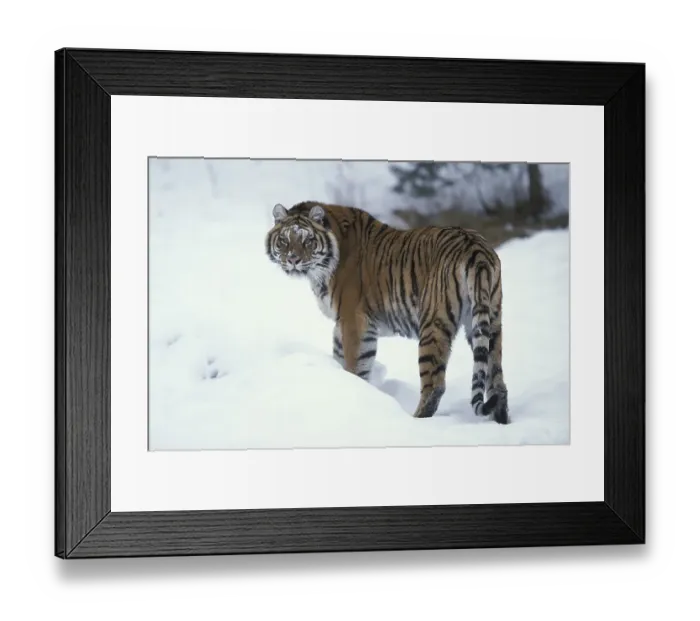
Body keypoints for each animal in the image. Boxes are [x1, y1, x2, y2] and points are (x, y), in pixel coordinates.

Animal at [265, 200, 510, 424]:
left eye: (307, 240)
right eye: (284, 240)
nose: (292, 260)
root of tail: (475, 247)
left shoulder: (353, 321)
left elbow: (354, 365)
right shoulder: (349, 325)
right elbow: (350, 361)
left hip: (433, 325)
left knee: (435, 386)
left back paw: (416, 421)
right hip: (489, 321)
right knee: (497, 381)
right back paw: (501, 420)